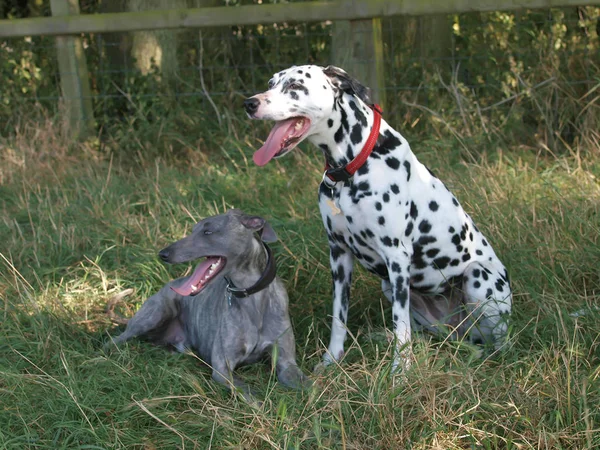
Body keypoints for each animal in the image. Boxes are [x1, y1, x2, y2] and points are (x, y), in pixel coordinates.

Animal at [106, 209, 310, 396]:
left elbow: (308, 386)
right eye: (193, 230)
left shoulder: (287, 362)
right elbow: (250, 393)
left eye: (208, 232)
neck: (252, 297)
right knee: (116, 339)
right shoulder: (223, 368)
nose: (163, 254)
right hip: (155, 313)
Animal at [244, 64, 510, 372]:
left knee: (497, 341)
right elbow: (339, 318)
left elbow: (400, 324)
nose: (249, 103)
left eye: (295, 86)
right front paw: (331, 360)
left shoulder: (397, 258)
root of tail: (460, 331)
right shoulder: (339, 255)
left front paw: (400, 371)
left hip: (479, 277)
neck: (352, 166)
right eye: (270, 83)